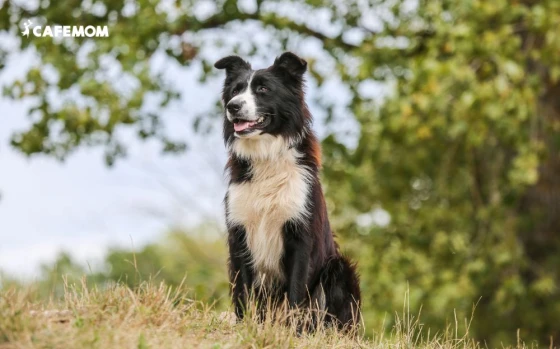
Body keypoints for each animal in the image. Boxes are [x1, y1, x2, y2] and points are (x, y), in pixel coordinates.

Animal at [214, 51, 364, 328]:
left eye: (263, 89)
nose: (233, 106)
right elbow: (242, 290)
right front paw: (244, 326)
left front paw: (291, 332)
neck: (266, 155)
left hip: (339, 268)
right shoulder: (239, 233)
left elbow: (296, 292)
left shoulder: (300, 236)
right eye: (235, 90)